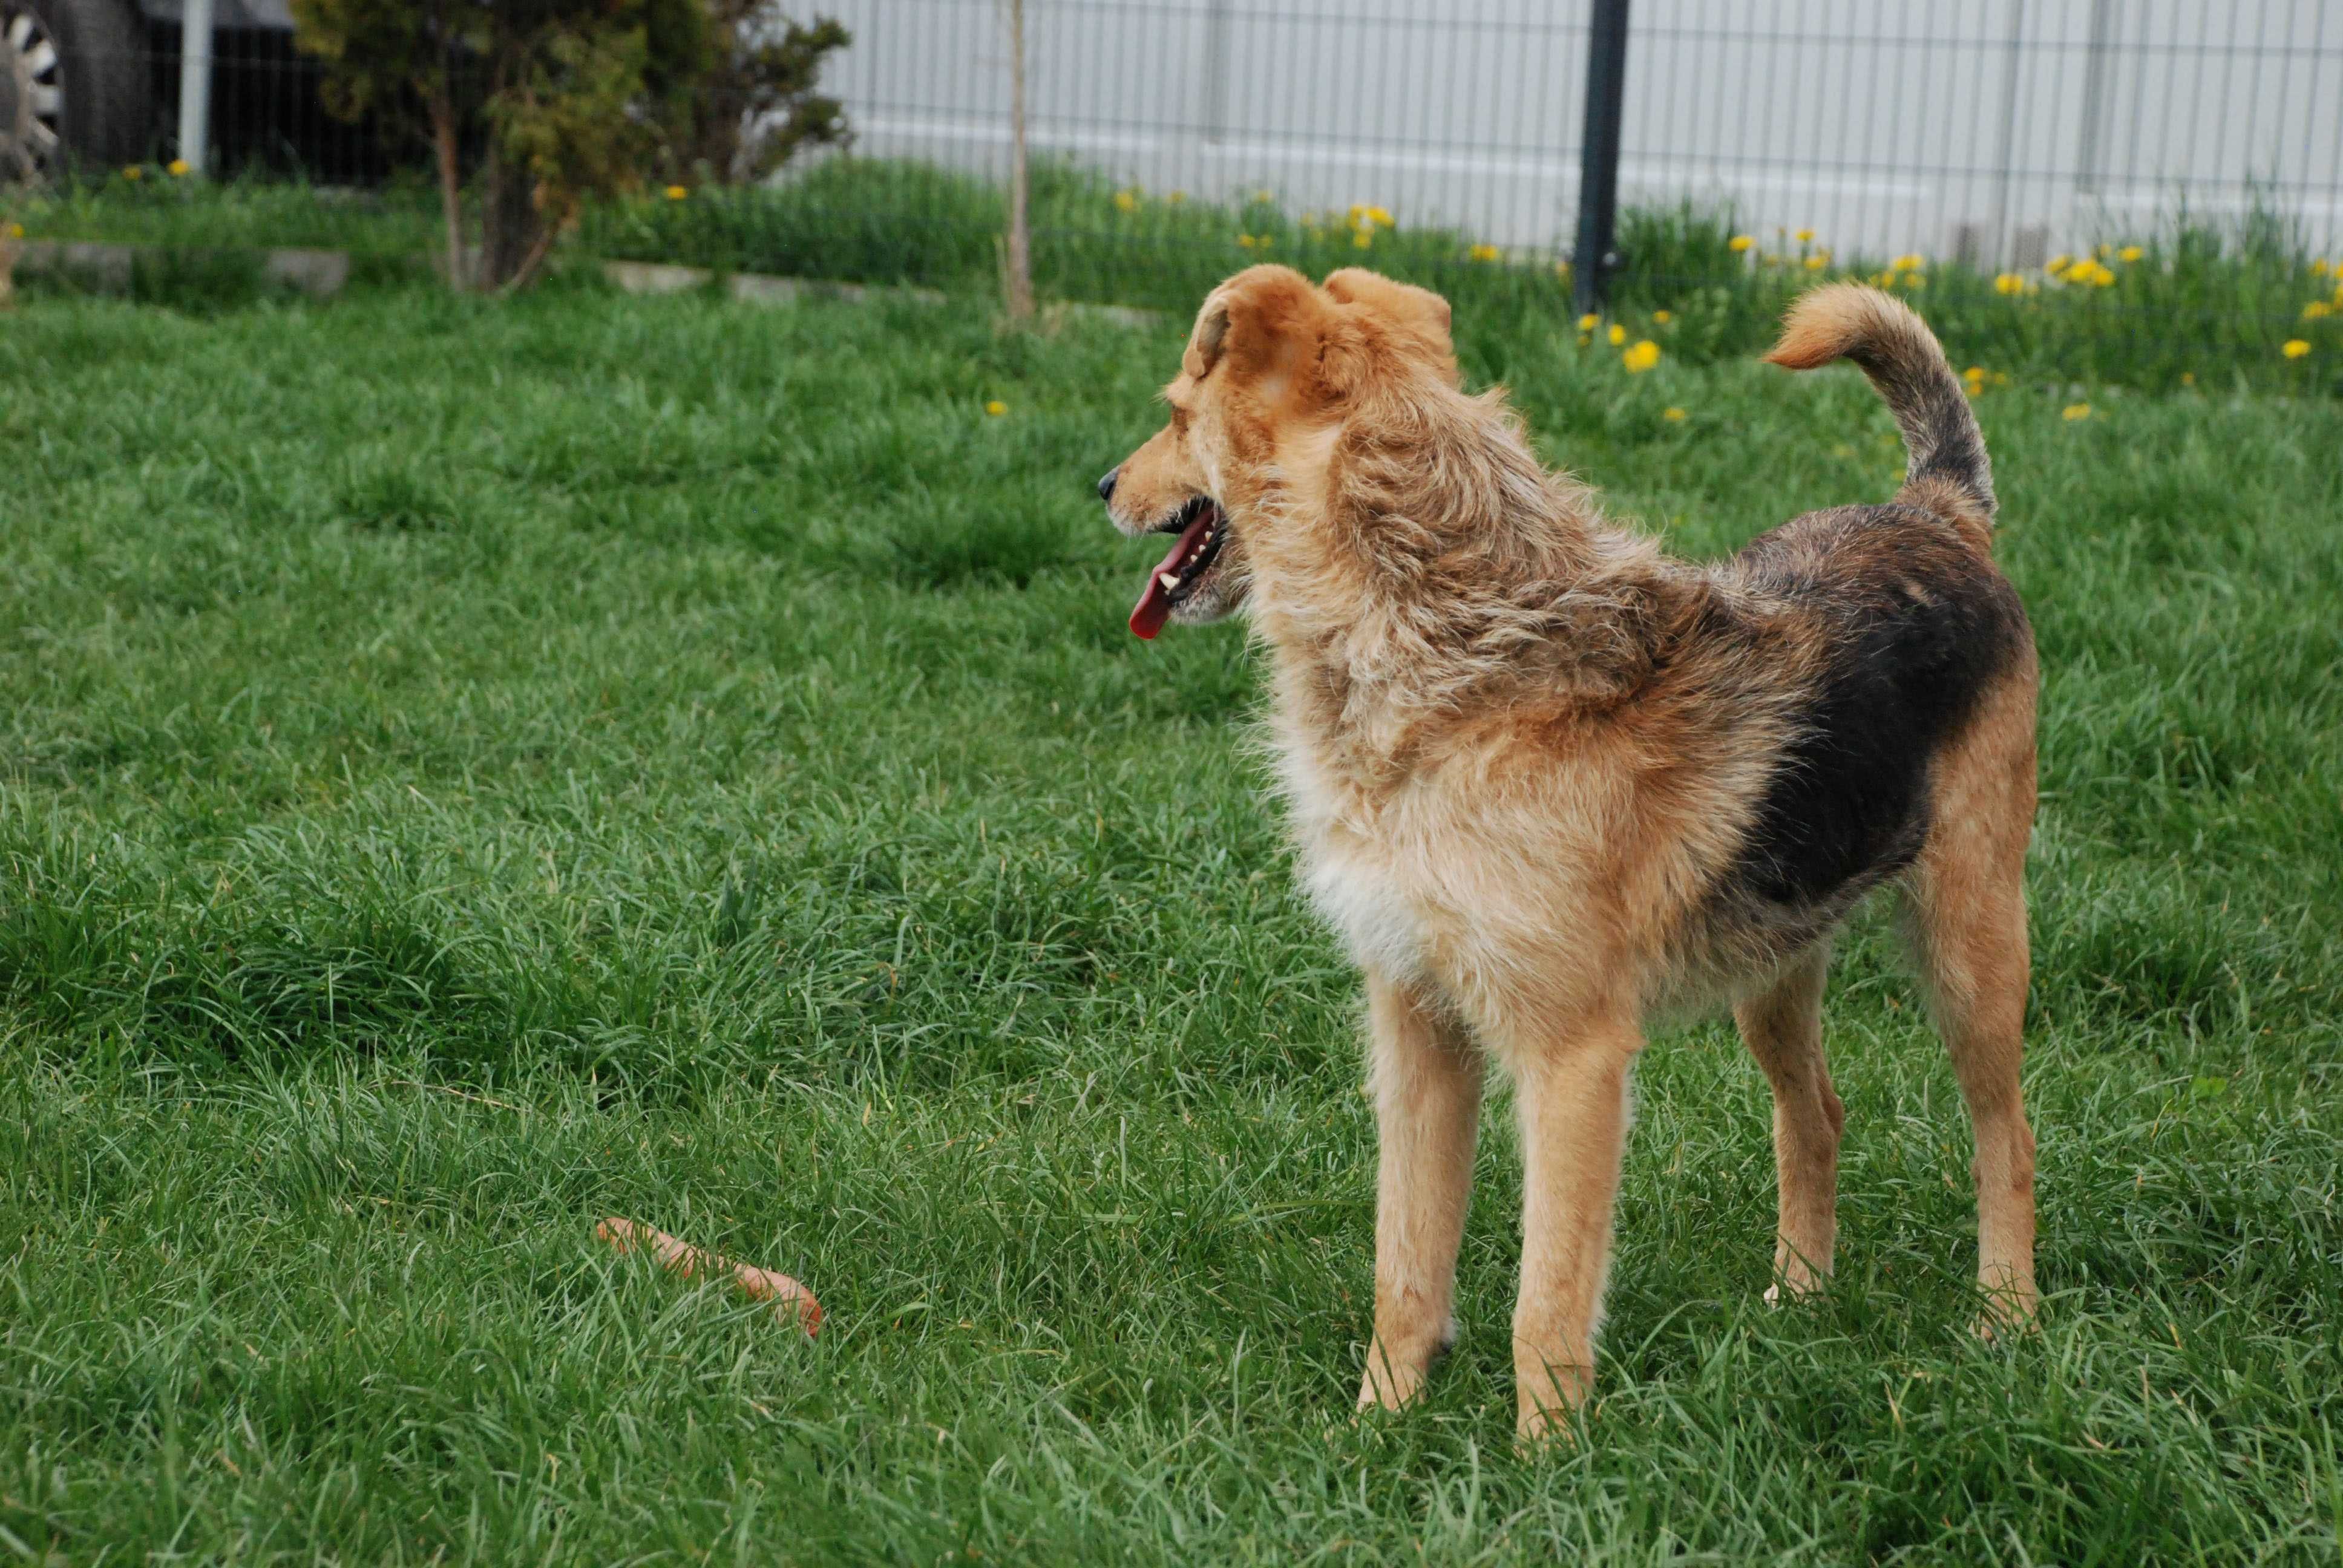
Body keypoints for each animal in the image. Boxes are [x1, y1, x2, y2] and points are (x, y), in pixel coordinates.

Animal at [1096, 272, 2033, 1443]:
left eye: (1178, 412)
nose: (1102, 485)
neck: (1452, 646)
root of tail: (1935, 513)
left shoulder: (1571, 1060)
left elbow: (1543, 1307)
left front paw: (1544, 1467)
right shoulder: (1416, 1030)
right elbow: (1405, 1269)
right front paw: (1375, 1434)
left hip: (1970, 953)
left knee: (2006, 1140)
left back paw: (2007, 1323)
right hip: (1775, 964)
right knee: (1816, 1114)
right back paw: (1801, 1298)